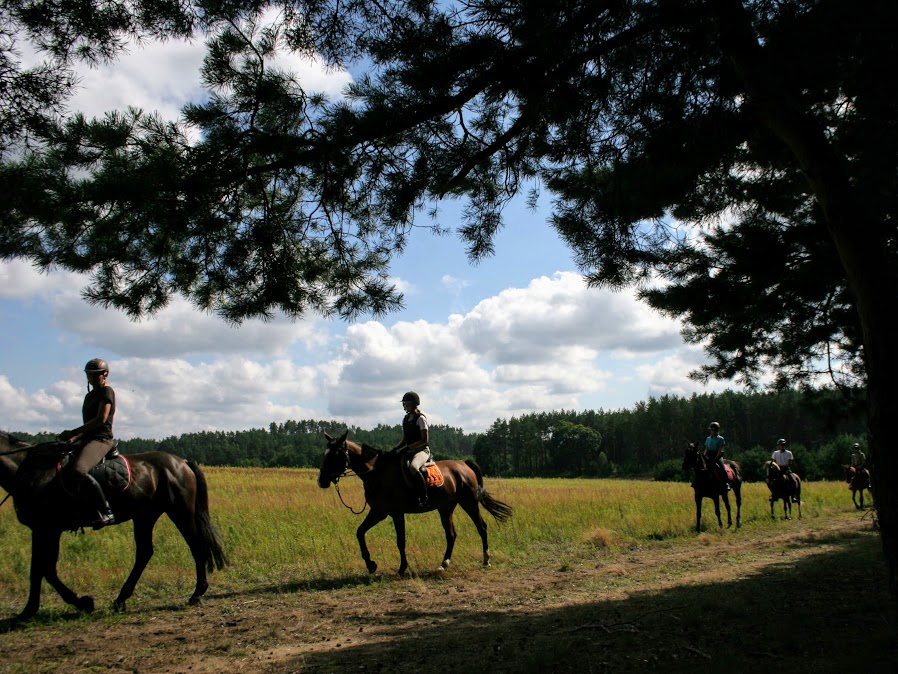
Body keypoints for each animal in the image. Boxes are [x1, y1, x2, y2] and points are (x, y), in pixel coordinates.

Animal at [0, 430, 228, 620]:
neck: (31, 471)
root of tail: (182, 462)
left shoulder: (48, 528)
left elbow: (45, 569)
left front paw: (83, 603)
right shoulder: (40, 529)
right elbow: (38, 569)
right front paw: (28, 611)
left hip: (179, 511)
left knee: (195, 545)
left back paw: (197, 593)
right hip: (145, 515)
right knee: (145, 552)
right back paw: (121, 599)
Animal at [316, 430, 512, 572]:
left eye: (334, 455)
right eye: (325, 454)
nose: (321, 481)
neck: (378, 473)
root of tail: (464, 464)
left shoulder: (396, 513)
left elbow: (400, 540)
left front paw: (402, 568)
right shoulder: (379, 512)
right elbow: (360, 532)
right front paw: (371, 564)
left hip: (469, 503)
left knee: (481, 527)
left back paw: (486, 560)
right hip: (445, 508)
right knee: (451, 534)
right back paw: (444, 563)